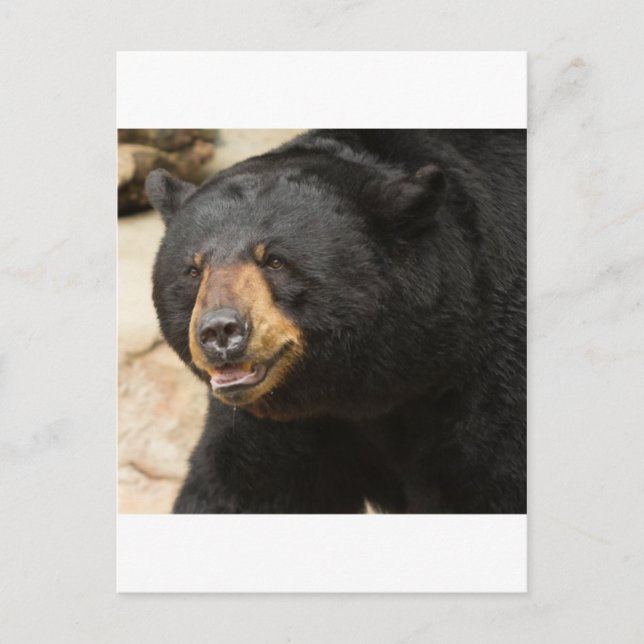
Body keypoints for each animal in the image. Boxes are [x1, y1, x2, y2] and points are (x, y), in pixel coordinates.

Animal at [146, 129, 526, 514]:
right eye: (194, 269)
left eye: (275, 260)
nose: (220, 331)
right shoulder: (275, 425)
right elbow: (235, 488)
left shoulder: (488, 379)